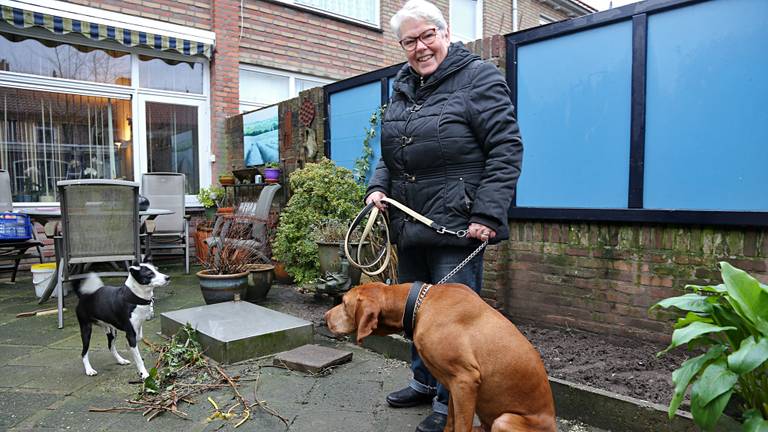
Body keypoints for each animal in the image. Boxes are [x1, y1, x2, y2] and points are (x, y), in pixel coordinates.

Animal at [322, 284, 552, 432]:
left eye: (344, 303)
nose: (324, 317)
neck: (420, 304)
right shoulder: (453, 385)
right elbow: (450, 420)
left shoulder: (465, 381)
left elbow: (461, 427)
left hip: (504, 420)